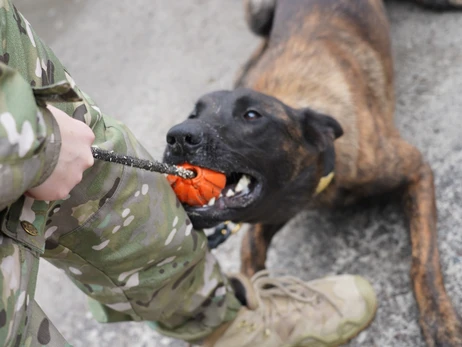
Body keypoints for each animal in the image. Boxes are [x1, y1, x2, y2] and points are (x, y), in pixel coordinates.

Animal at [162, 1, 462, 346]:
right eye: (193, 113)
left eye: (251, 115)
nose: (177, 137)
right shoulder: (270, 213)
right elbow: (250, 260)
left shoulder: (416, 169)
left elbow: (423, 261)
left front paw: (440, 320)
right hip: (257, 14)